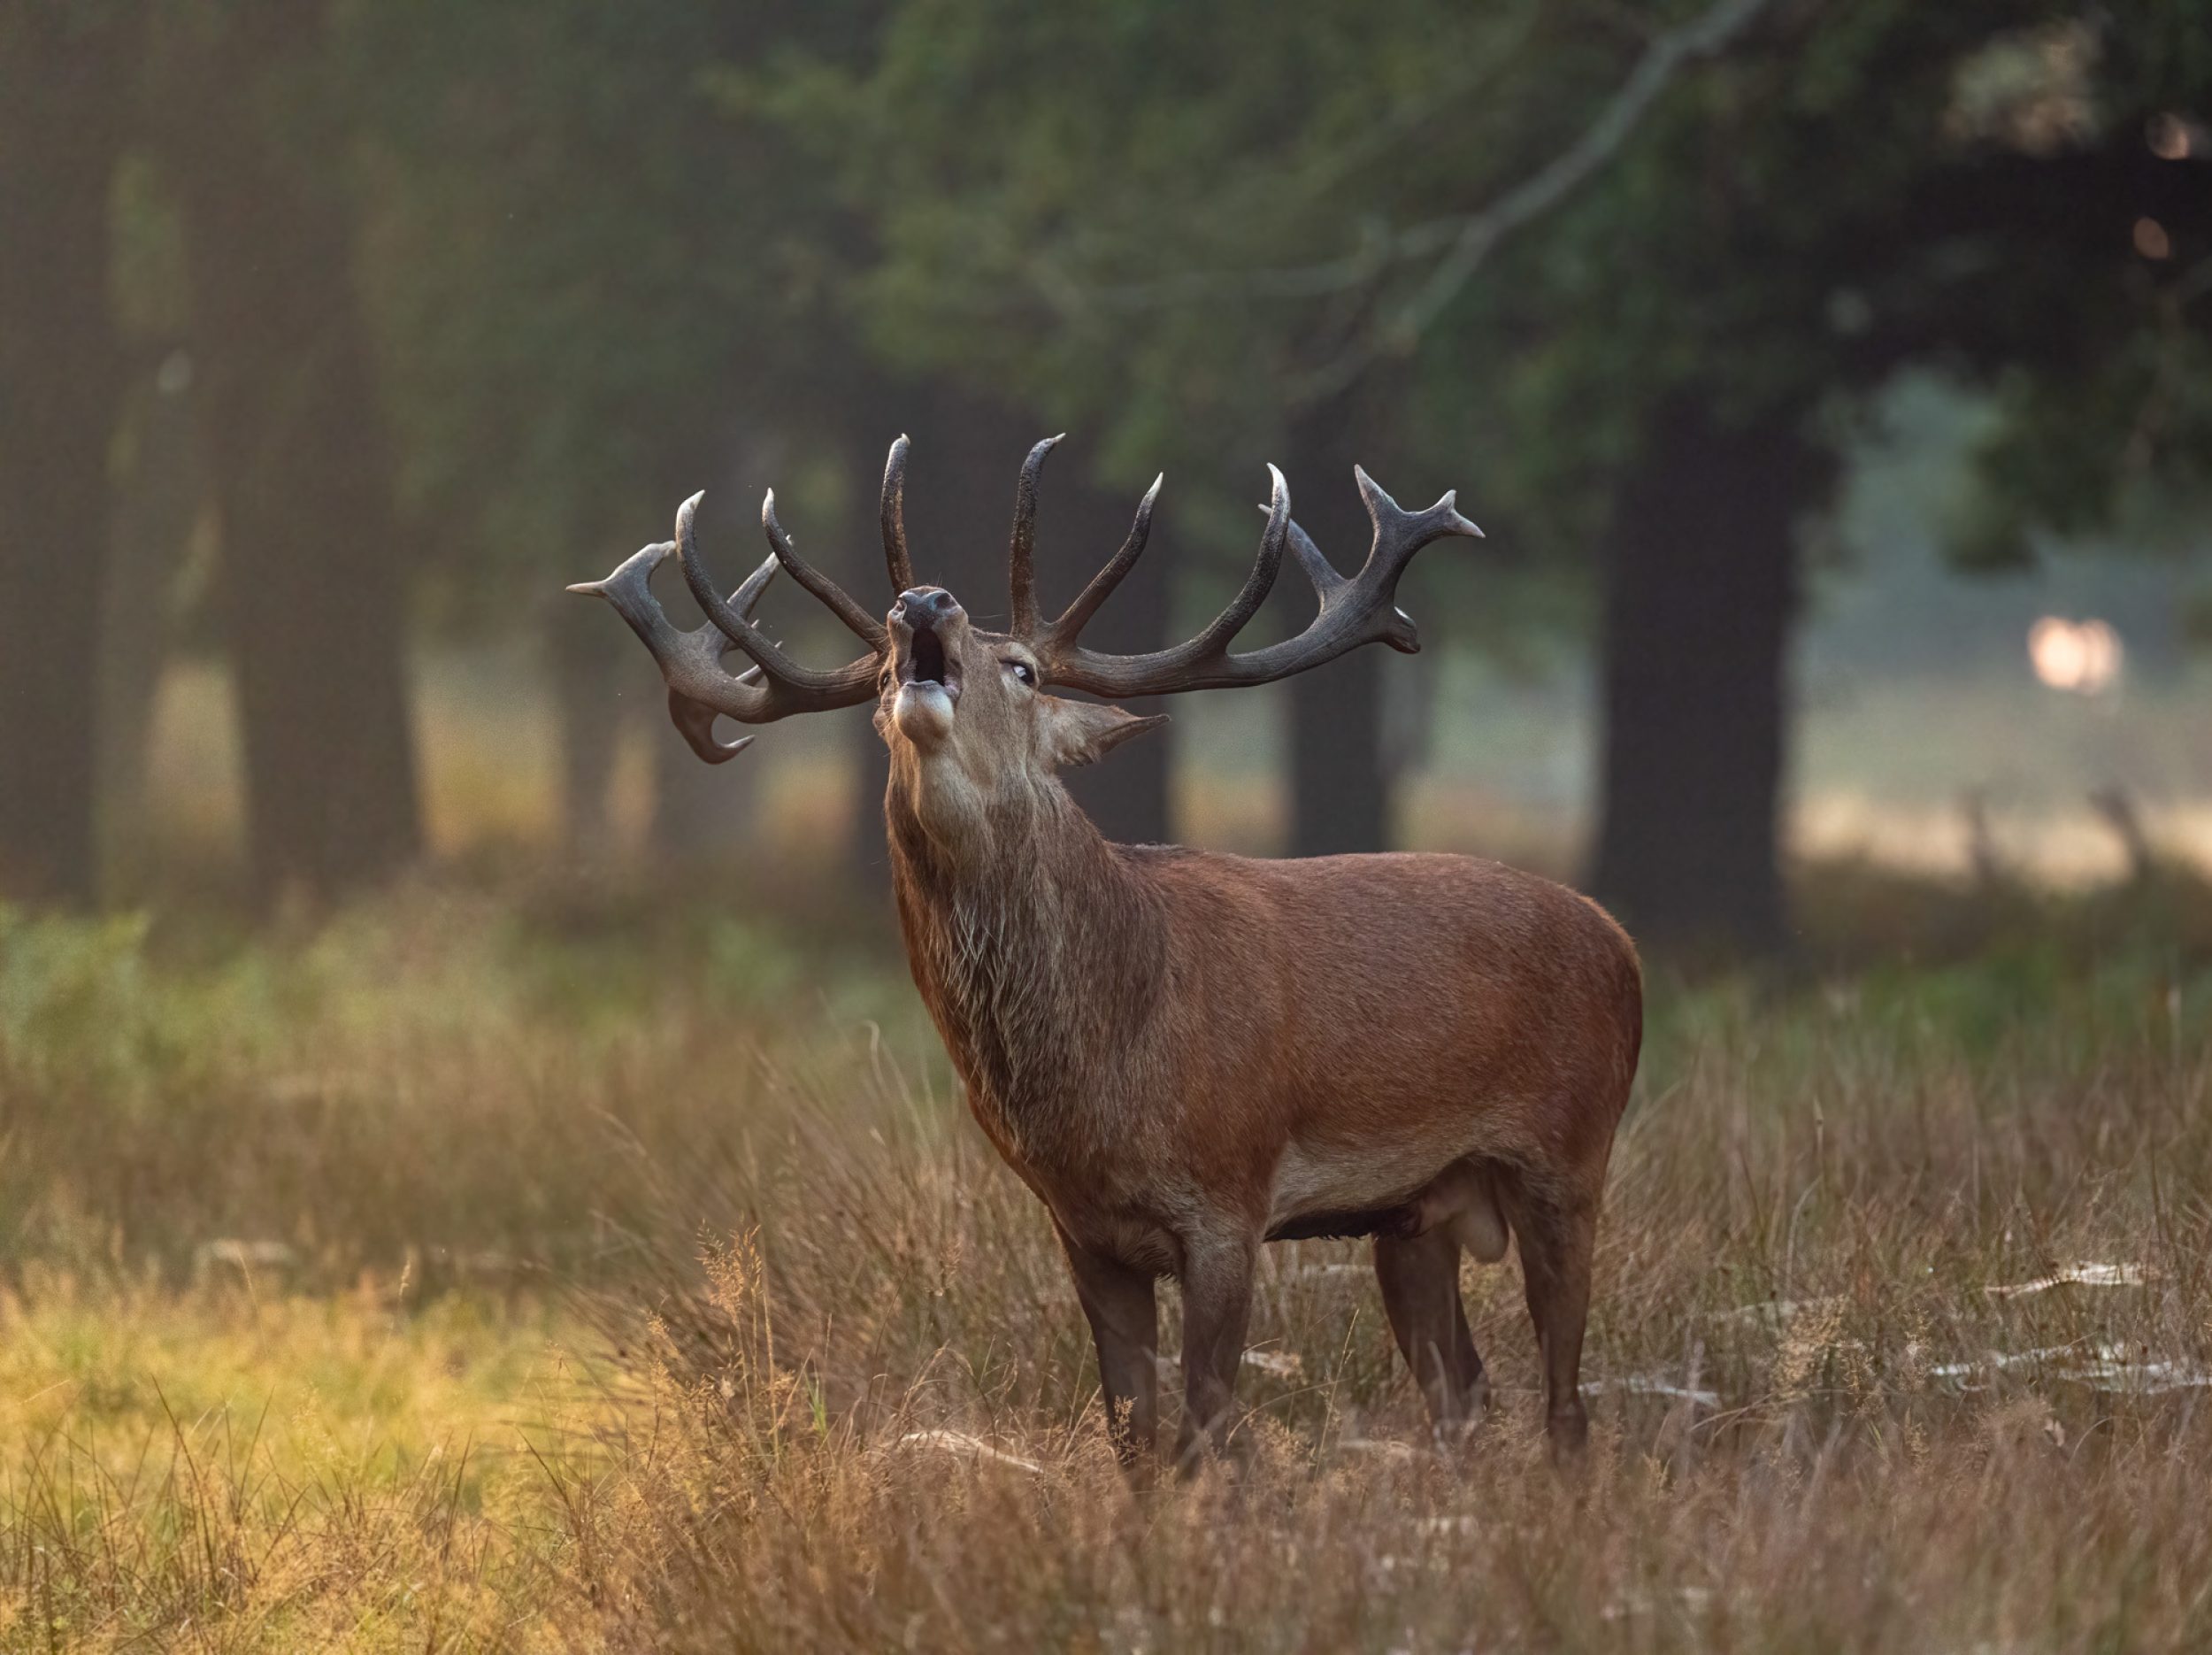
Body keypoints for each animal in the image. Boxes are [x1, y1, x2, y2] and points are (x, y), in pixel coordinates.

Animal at [569, 435, 1643, 1470]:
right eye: (875, 679)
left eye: (1025, 670)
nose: (923, 602)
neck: (1106, 1074)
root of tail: (1621, 941)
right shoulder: (1080, 1226)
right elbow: (1132, 1432)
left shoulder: (1229, 1195)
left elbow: (1207, 1431)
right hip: (1415, 1214)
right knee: (1462, 1392)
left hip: (1570, 1154)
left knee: (1566, 1404)